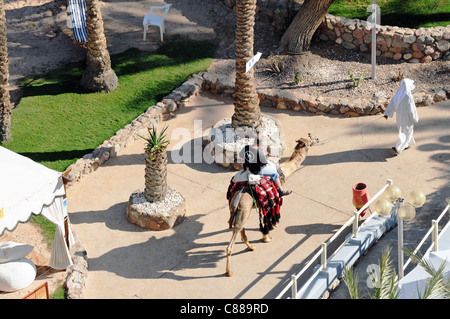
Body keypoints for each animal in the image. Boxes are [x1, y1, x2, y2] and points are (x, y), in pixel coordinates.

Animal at [227, 136, 314, 278]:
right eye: (309, 141)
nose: (316, 139)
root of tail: (236, 199)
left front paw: (266, 235)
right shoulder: (272, 200)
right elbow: (269, 217)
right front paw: (267, 237)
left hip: (240, 211)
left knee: (241, 230)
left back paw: (251, 247)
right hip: (243, 210)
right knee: (232, 242)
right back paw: (229, 272)